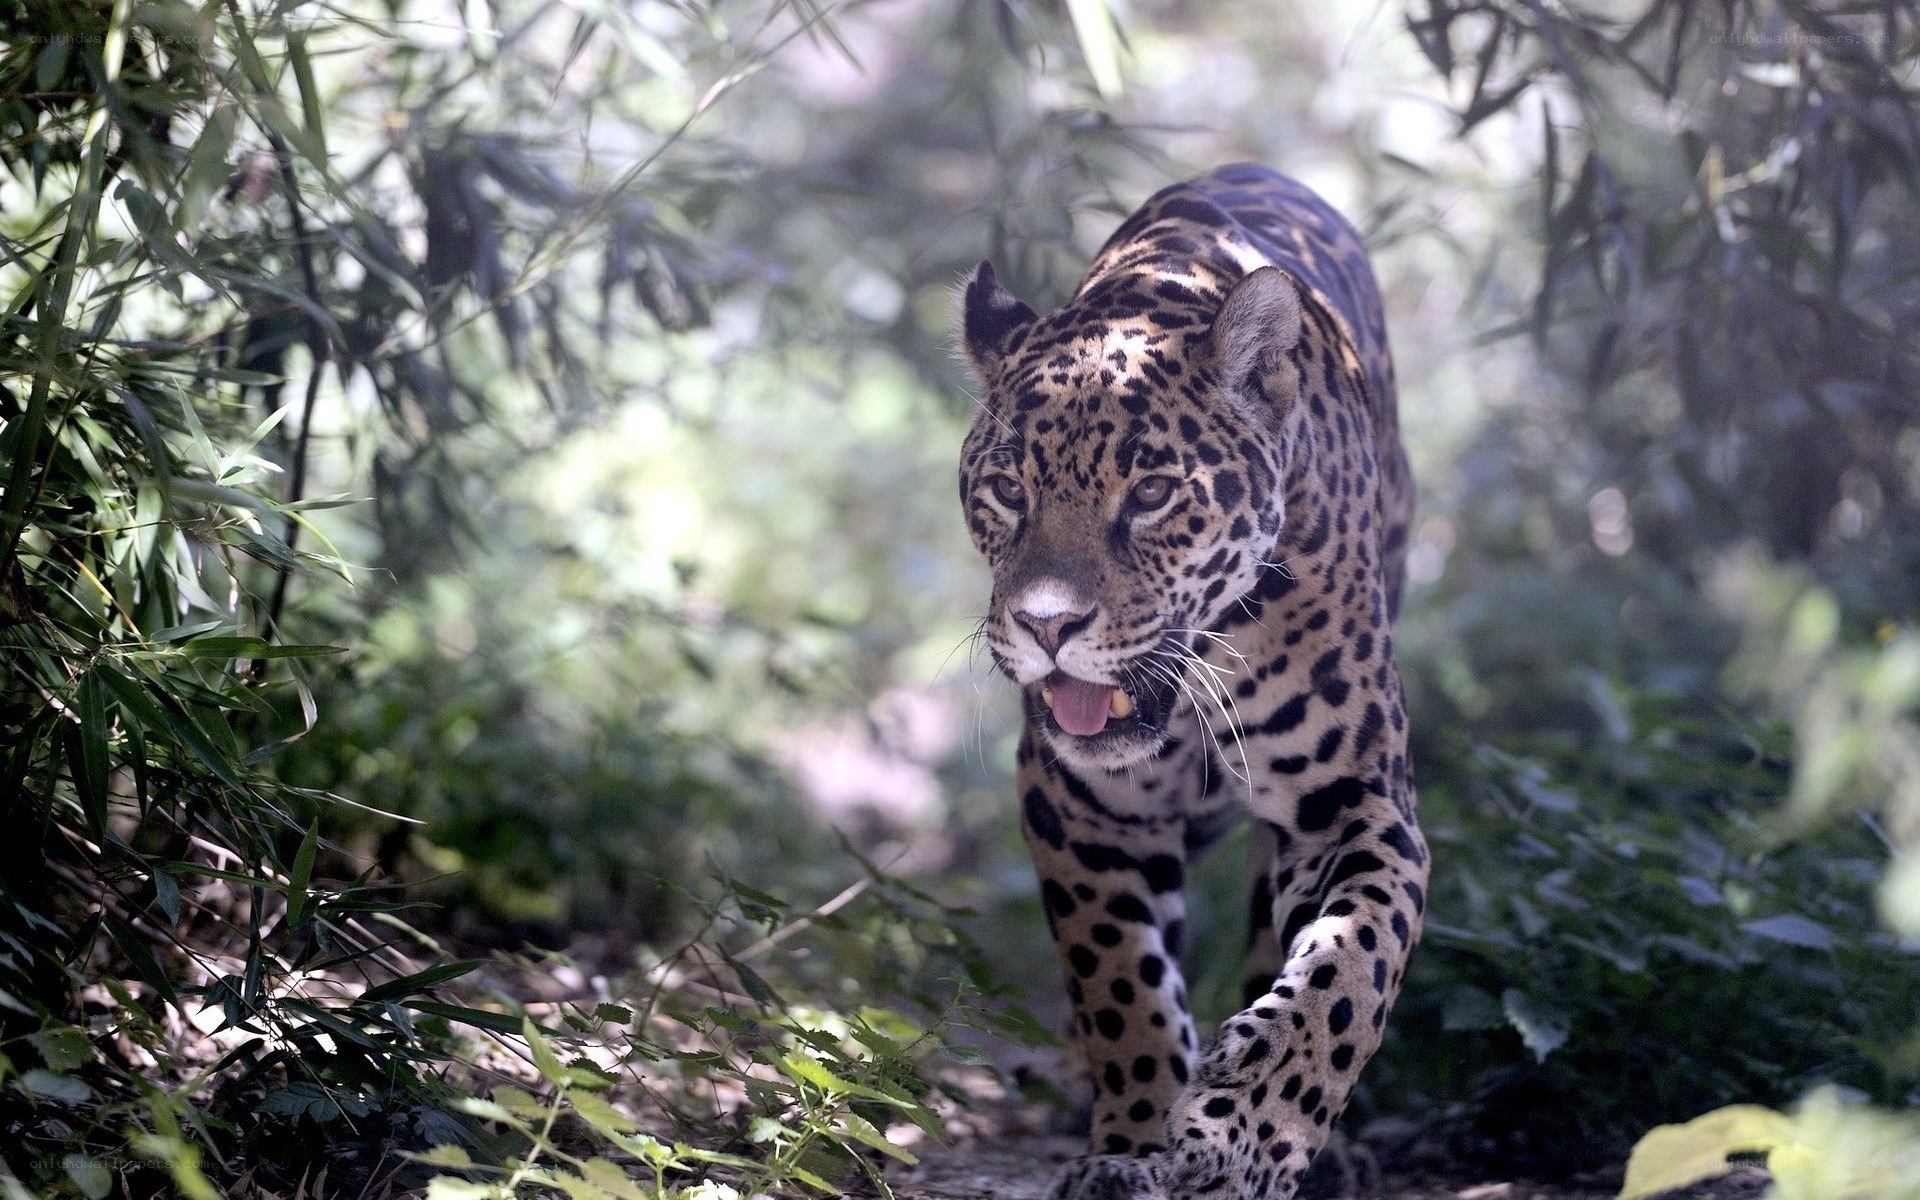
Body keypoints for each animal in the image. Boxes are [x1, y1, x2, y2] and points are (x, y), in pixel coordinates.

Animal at [956, 164, 1427, 1200]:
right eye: (1007, 490)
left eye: (1152, 494)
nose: (1047, 626)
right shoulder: (1079, 803)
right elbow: (1119, 983)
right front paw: (1131, 1148)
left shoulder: (1357, 799)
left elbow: (1349, 970)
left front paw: (1253, 1134)